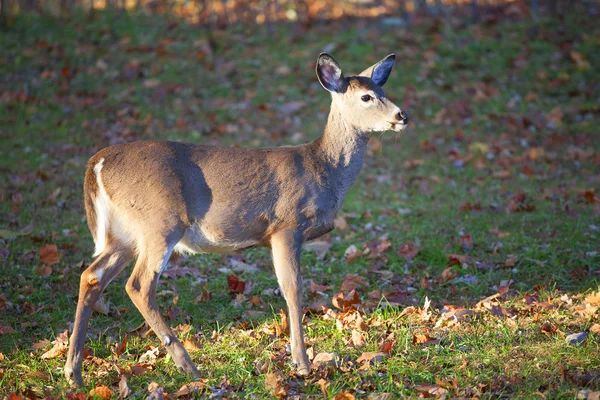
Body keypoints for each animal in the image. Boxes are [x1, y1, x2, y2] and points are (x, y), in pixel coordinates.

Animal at [63, 51, 408, 386]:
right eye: (366, 97)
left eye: (383, 90)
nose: (402, 115)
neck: (322, 170)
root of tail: (97, 163)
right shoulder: (286, 225)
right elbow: (293, 288)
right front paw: (302, 363)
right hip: (159, 221)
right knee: (138, 284)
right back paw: (187, 365)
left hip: (126, 233)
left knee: (92, 276)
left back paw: (74, 372)